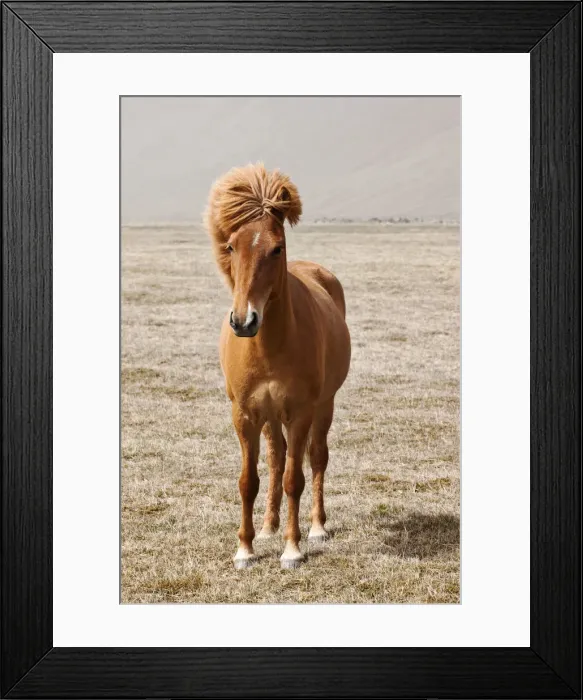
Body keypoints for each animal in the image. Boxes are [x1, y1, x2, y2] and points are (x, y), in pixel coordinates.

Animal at [205, 163, 351, 569]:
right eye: (231, 246)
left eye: (276, 248)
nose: (244, 321)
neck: (269, 347)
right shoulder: (244, 415)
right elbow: (248, 481)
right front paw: (245, 549)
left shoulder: (300, 413)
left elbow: (294, 480)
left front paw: (292, 549)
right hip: (269, 416)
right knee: (275, 459)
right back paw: (269, 526)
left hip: (323, 406)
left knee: (316, 458)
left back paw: (316, 527)